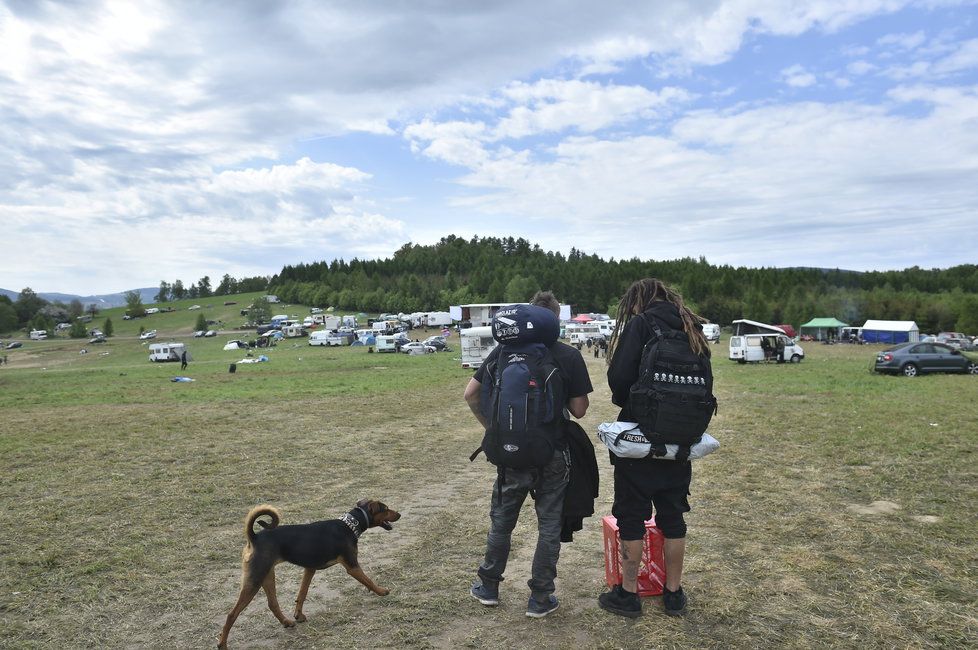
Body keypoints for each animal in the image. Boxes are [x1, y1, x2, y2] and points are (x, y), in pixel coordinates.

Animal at [218, 498, 400, 644]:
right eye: (385, 508)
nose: (399, 514)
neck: (349, 525)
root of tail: (254, 537)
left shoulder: (309, 569)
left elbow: (302, 593)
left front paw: (298, 615)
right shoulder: (352, 567)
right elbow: (368, 580)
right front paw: (381, 591)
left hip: (267, 575)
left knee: (272, 603)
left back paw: (286, 622)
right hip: (255, 579)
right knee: (231, 614)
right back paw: (222, 644)